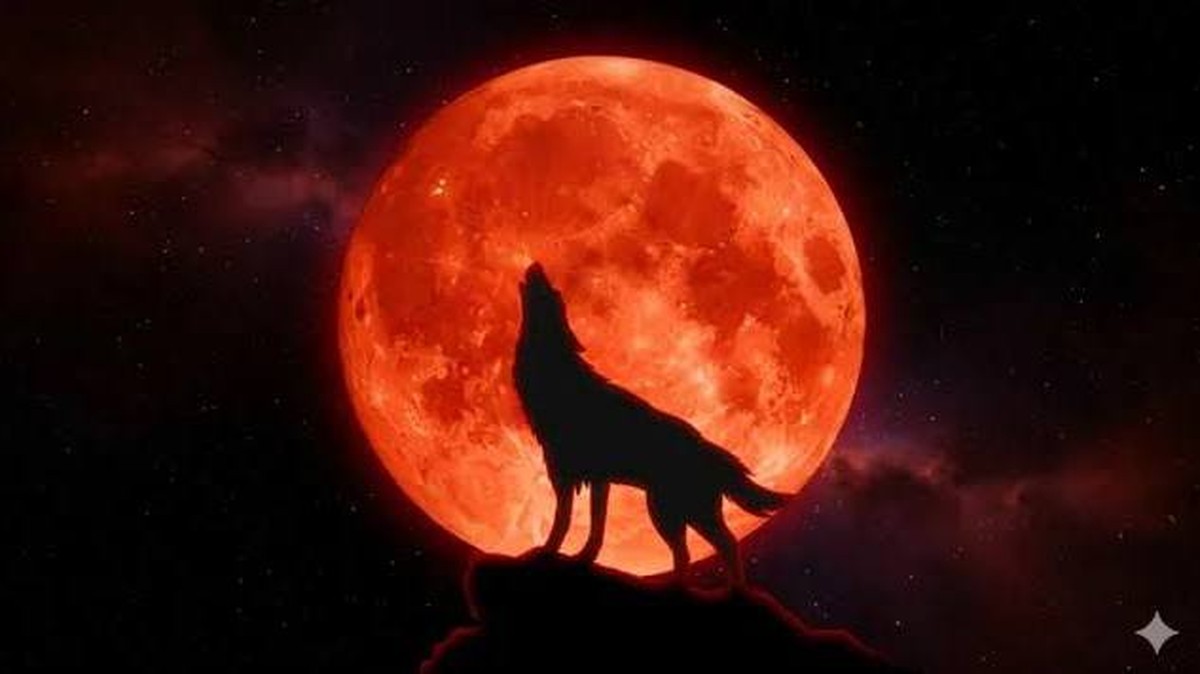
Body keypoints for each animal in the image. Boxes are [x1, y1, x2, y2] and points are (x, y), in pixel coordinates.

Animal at [513, 262, 788, 585]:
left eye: (550, 292)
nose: (536, 265)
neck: (557, 377)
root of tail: (714, 452)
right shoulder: (598, 480)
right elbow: (595, 528)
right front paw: (583, 558)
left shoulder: (566, 476)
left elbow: (562, 522)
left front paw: (548, 553)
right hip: (672, 512)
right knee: (693, 552)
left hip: (672, 512)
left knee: (722, 546)